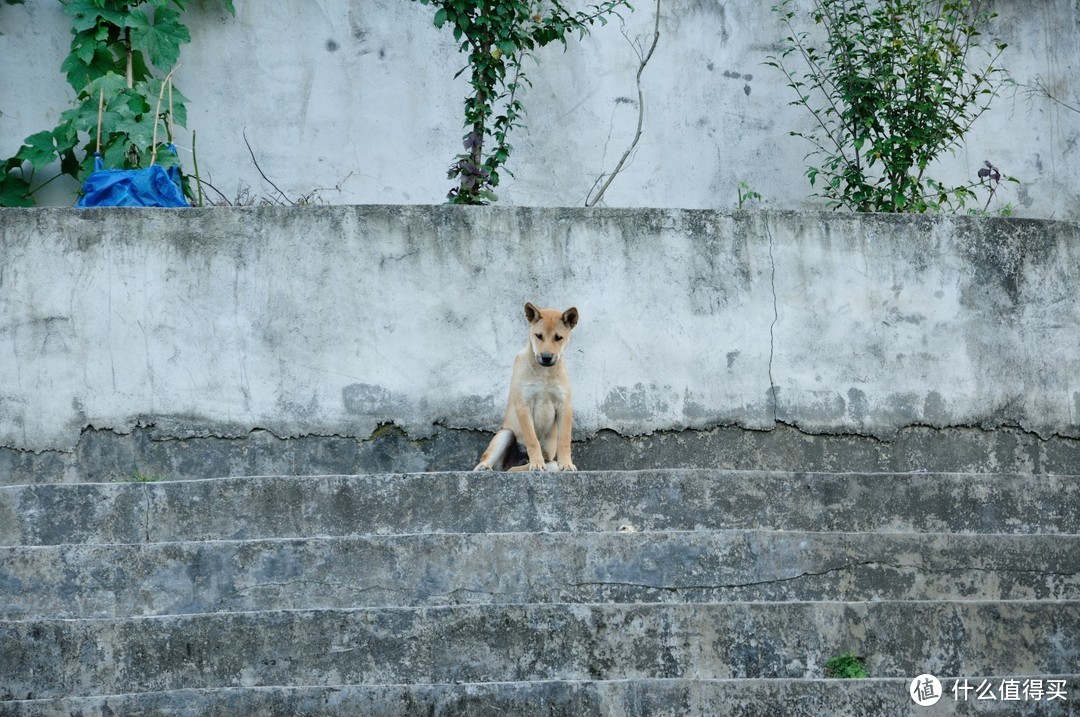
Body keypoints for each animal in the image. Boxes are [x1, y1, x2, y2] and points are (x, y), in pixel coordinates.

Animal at [475, 300, 578, 472]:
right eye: (539, 336)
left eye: (558, 338)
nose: (546, 357)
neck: (544, 373)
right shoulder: (523, 406)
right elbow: (532, 439)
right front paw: (536, 463)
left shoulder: (565, 406)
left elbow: (564, 440)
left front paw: (566, 464)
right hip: (506, 434)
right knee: (491, 463)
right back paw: (486, 468)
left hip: (548, 458)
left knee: (525, 467)